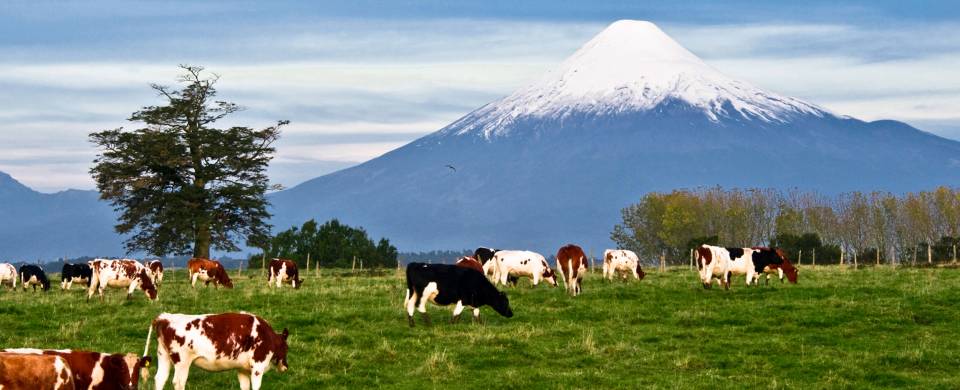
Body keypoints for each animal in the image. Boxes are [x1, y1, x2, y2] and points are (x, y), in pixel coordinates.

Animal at [146, 312, 288, 390]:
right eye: (286, 347)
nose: (286, 366)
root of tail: (166, 317)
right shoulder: (258, 366)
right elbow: (256, 386)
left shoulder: (242, 368)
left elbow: (245, 386)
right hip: (182, 362)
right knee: (178, 382)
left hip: (163, 356)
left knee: (160, 379)